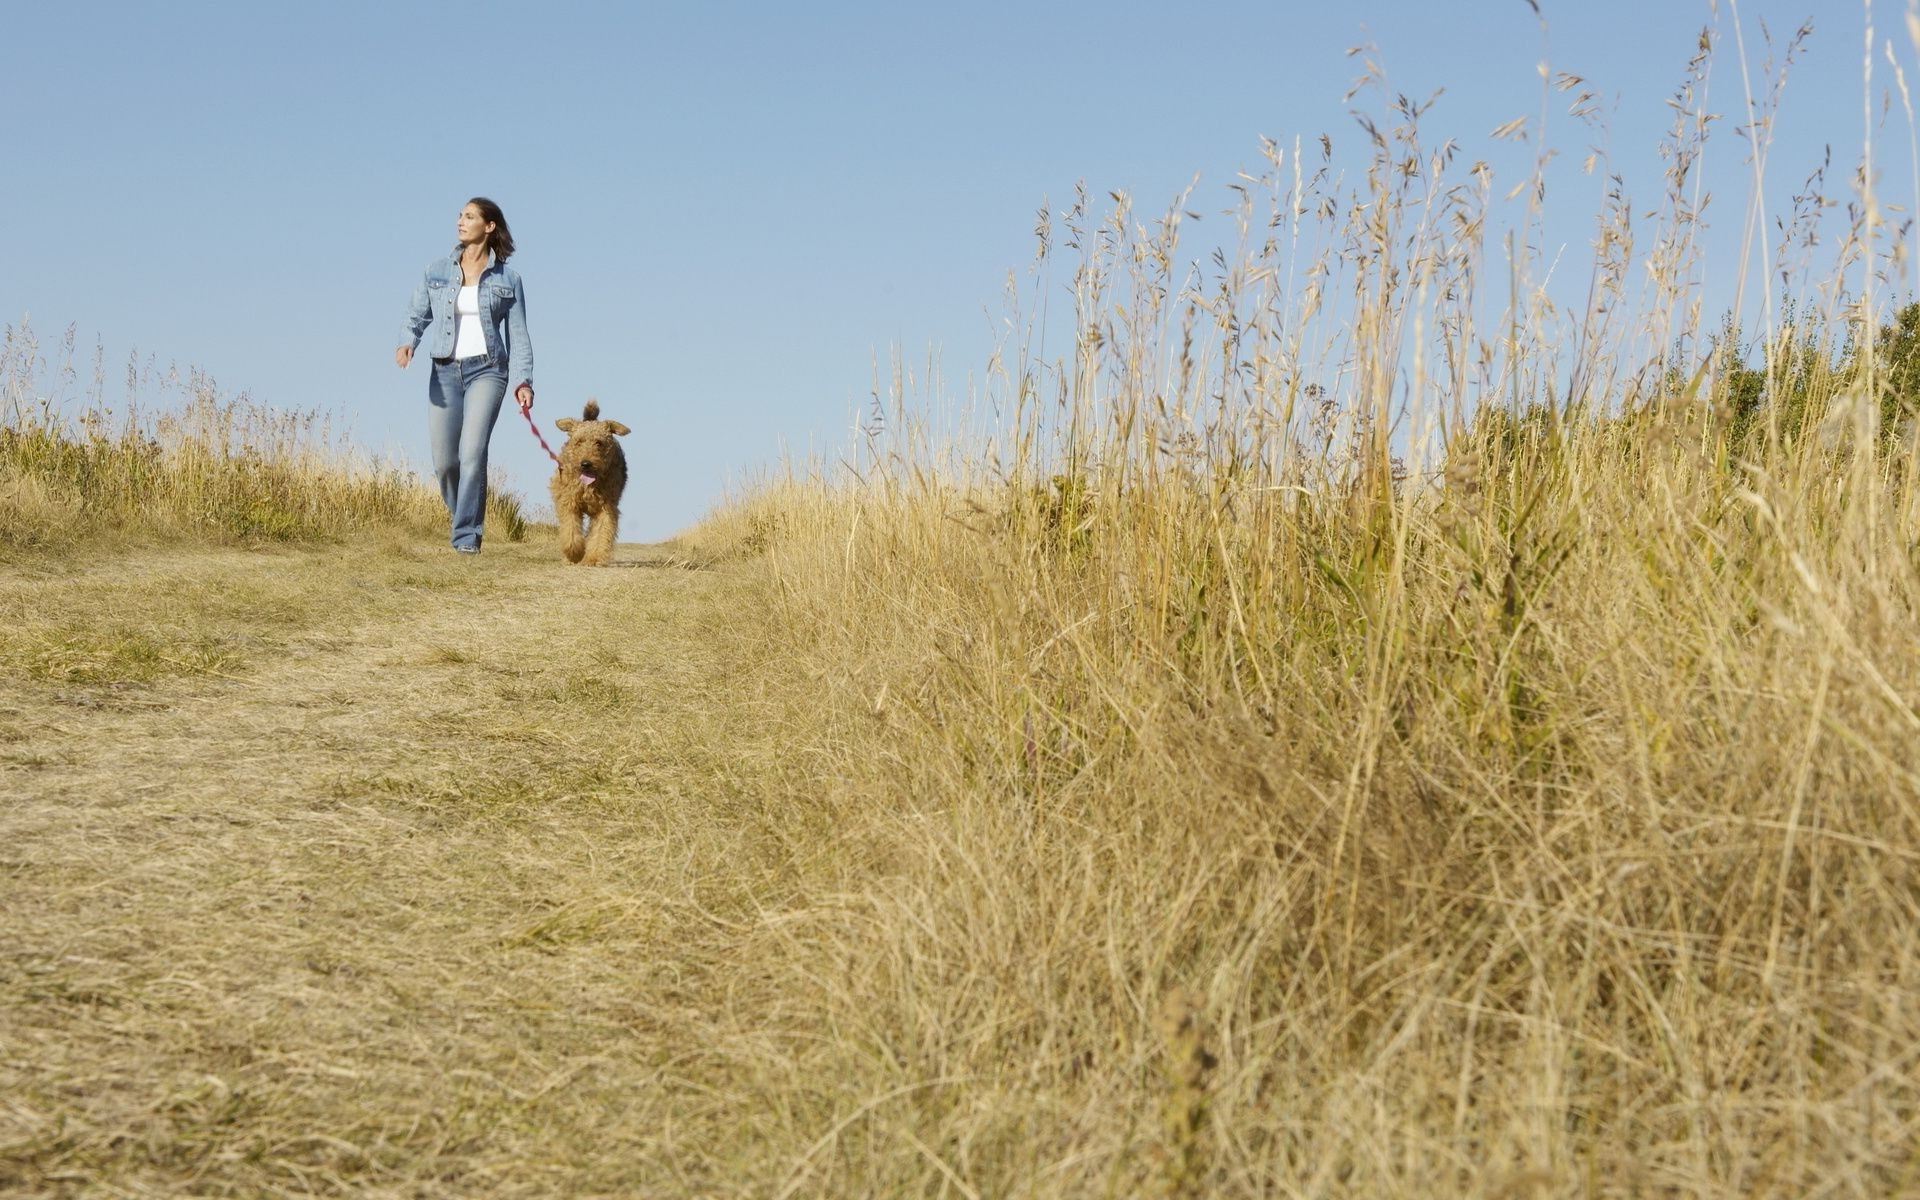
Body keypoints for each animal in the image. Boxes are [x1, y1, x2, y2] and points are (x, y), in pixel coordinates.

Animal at [549, 399, 629, 564]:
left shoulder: (606, 508)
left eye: (599, 442)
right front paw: (574, 554)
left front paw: (593, 558)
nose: (586, 464)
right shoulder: (569, 502)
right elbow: (571, 531)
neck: (588, 486)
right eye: (579, 441)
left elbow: (600, 533)